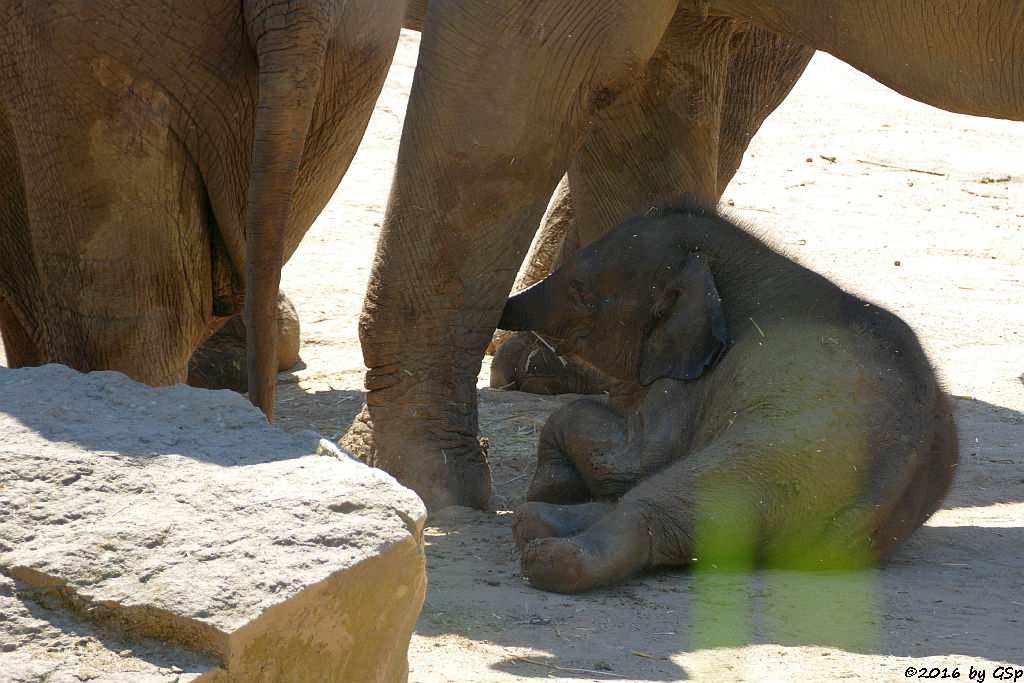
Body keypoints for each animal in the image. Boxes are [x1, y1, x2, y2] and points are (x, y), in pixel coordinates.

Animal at [497, 201, 958, 593]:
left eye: (582, 295)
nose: (502, 307)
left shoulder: (698, 377)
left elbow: (625, 452)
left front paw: (552, 486)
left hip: (787, 453)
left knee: (664, 496)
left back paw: (544, 554)